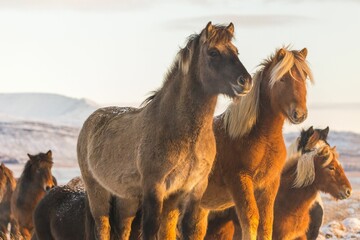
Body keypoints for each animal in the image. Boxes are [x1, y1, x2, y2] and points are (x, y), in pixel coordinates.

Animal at [76, 22, 250, 240]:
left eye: (236, 51)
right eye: (213, 52)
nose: (245, 81)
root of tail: (90, 122)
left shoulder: (191, 189)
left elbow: (180, 229)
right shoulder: (154, 187)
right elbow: (151, 229)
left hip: (126, 198)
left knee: (123, 228)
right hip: (97, 192)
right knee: (103, 228)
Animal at [181, 47, 314, 240]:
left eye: (304, 77)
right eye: (282, 78)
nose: (300, 114)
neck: (261, 137)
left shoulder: (269, 184)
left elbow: (266, 223)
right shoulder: (240, 181)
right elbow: (251, 220)